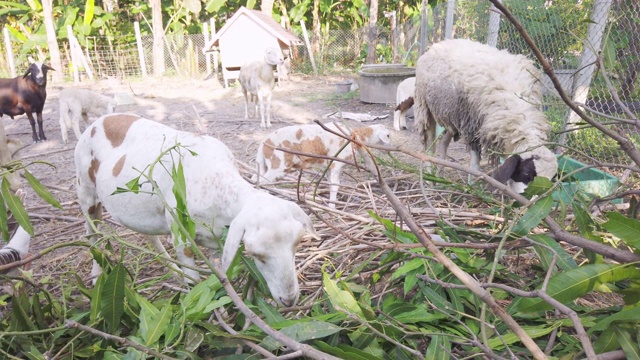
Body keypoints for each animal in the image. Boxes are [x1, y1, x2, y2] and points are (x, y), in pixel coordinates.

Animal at [255, 123, 390, 210]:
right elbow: (335, 185)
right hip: (278, 165)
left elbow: (331, 183)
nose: (390, 150)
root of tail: (264, 142)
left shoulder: (329, 167)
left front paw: (332, 203)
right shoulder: (336, 164)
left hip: (267, 165)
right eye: (389, 135)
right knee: (261, 182)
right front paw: (332, 207)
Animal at [416, 38, 556, 191]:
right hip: (425, 108)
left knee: (443, 143)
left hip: (451, 116)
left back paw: (440, 175)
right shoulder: (472, 126)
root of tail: (440, 44)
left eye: (552, 179)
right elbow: (474, 164)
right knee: (429, 144)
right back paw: (429, 179)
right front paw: (472, 186)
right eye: (526, 173)